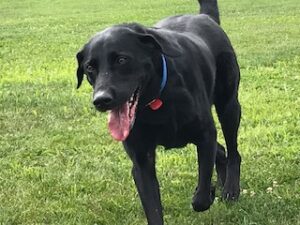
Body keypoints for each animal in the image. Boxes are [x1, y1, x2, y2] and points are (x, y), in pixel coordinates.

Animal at [75, 0, 241, 223]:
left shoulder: (205, 134)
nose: (101, 100)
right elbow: (153, 209)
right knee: (221, 151)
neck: (157, 100)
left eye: (122, 60)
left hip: (228, 106)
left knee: (233, 152)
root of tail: (205, 17)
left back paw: (230, 188)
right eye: (90, 68)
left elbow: (201, 199)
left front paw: (207, 192)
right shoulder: (141, 161)